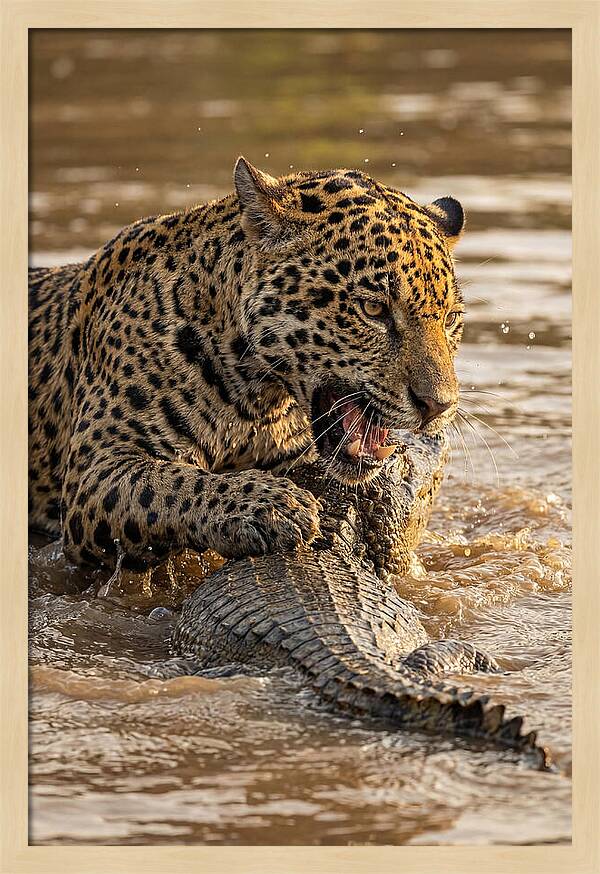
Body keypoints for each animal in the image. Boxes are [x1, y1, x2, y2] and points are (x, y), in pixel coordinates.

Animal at [28, 157, 465, 571]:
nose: (438, 406)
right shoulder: (97, 469)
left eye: (450, 319)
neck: (256, 397)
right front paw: (271, 506)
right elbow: (169, 482)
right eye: (373, 309)